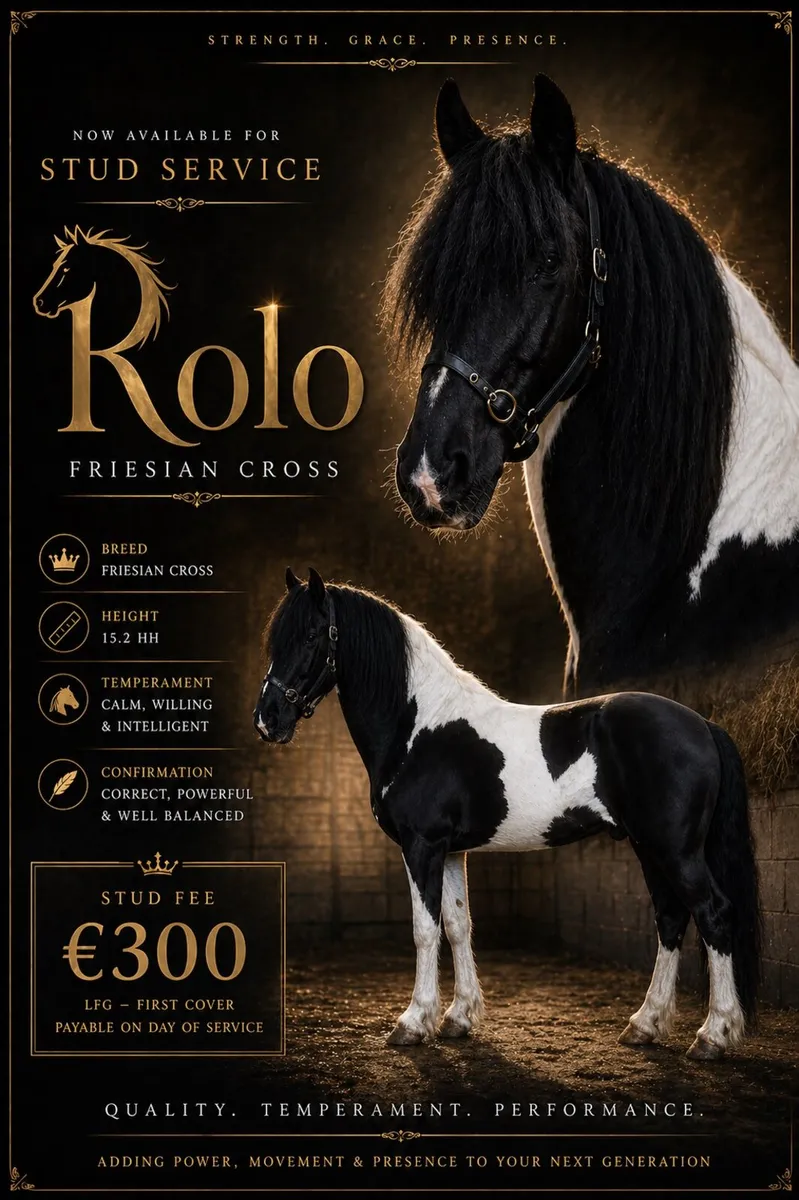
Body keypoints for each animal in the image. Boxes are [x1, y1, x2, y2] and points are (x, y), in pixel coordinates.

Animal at [254, 568, 761, 1061]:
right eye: (275, 640)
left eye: (311, 635)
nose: (267, 719)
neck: (419, 727)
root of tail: (704, 724)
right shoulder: (452, 852)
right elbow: (458, 925)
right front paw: (458, 1018)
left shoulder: (422, 846)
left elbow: (425, 929)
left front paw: (413, 1023)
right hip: (648, 846)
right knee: (671, 918)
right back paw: (644, 1025)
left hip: (674, 850)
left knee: (712, 913)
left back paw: (713, 1035)